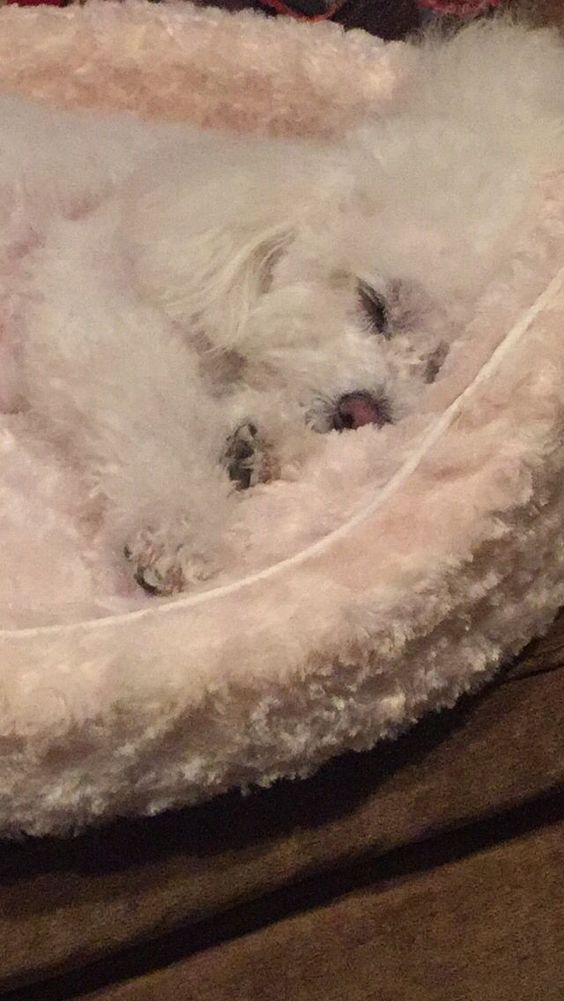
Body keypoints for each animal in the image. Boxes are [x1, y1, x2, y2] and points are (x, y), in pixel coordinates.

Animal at [1, 19, 564, 592]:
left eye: (438, 365)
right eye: (374, 304)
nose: (358, 411)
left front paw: (257, 445)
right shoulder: (89, 300)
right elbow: (157, 415)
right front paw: (179, 529)